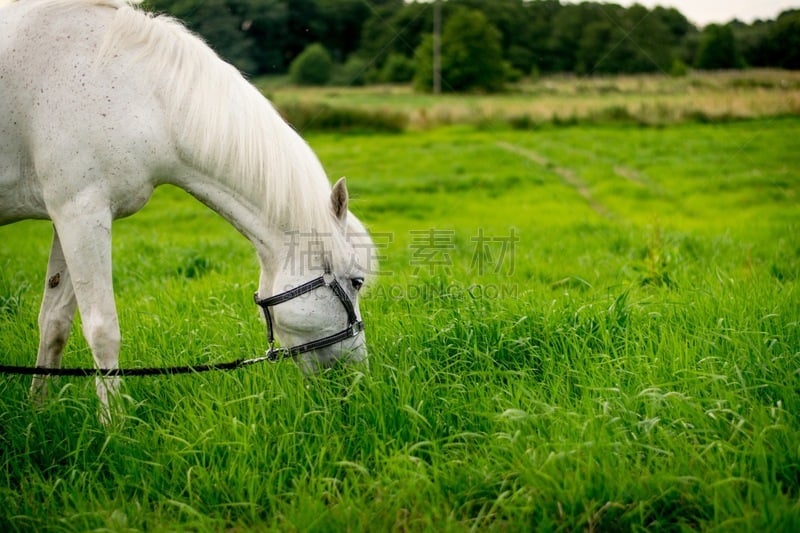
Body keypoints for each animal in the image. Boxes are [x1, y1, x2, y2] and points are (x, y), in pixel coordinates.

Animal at [0, 0, 376, 418]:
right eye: (357, 282)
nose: (355, 382)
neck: (136, 88)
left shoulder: (66, 217)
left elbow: (54, 323)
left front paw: (37, 412)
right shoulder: (81, 212)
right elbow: (102, 330)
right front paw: (113, 425)